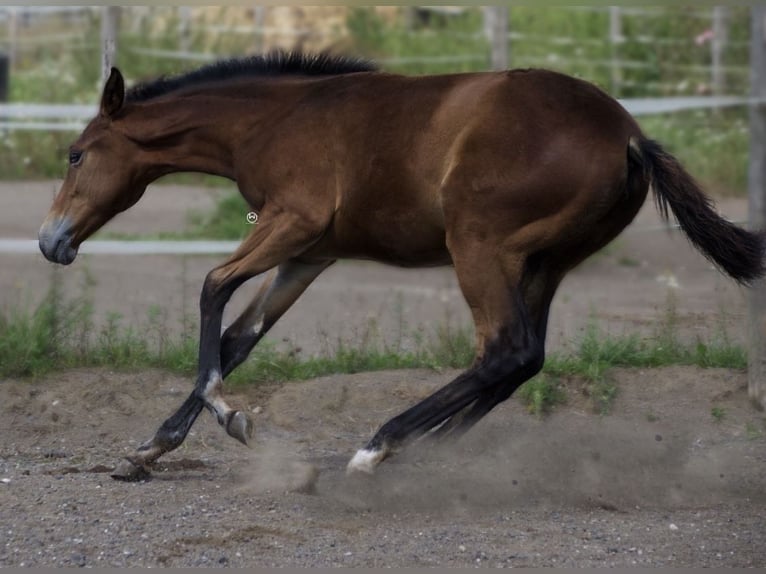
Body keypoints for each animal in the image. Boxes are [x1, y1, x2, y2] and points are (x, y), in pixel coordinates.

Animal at [40, 53, 760, 482]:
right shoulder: (309, 253)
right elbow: (239, 338)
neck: (274, 120)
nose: (52, 241)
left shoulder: (292, 222)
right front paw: (150, 448)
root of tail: (630, 137)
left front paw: (231, 419)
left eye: (77, 154)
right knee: (520, 359)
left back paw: (378, 447)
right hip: (544, 263)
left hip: (480, 245)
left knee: (505, 350)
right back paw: (428, 453)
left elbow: (212, 291)